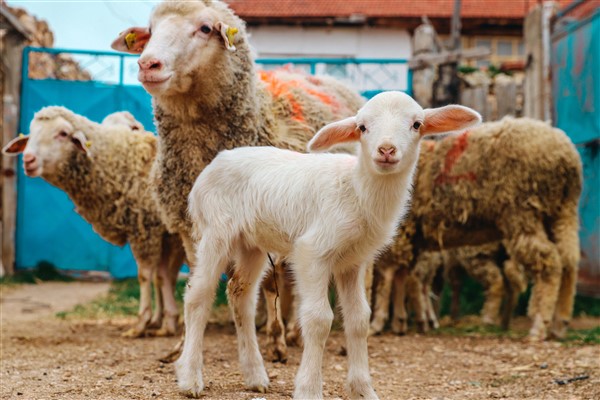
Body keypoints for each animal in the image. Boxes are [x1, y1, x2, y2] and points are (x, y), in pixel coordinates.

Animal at [2, 106, 184, 338]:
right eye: (31, 133)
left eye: (63, 133)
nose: (28, 159)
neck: (122, 162)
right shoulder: (165, 234)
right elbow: (162, 276)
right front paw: (164, 321)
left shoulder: (146, 228)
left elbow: (146, 276)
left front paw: (142, 323)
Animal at [112, 0, 366, 362]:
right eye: (150, 28)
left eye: (205, 28)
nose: (148, 64)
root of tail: (330, 80)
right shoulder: (191, 226)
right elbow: (198, 279)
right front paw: (181, 346)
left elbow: (271, 283)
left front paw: (275, 342)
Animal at [176, 91, 480, 400]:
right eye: (362, 127)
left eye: (417, 124)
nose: (386, 150)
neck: (357, 190)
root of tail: (215, 162)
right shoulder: (312, 252)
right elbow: (319, 319)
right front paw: (309, 389)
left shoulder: (353, 261)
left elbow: (359, 319)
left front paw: (363, 389)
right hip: (215, 230)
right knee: (198, 296)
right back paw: (190, 378)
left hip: (252, 242)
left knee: (241, 295)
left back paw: (255, 376)